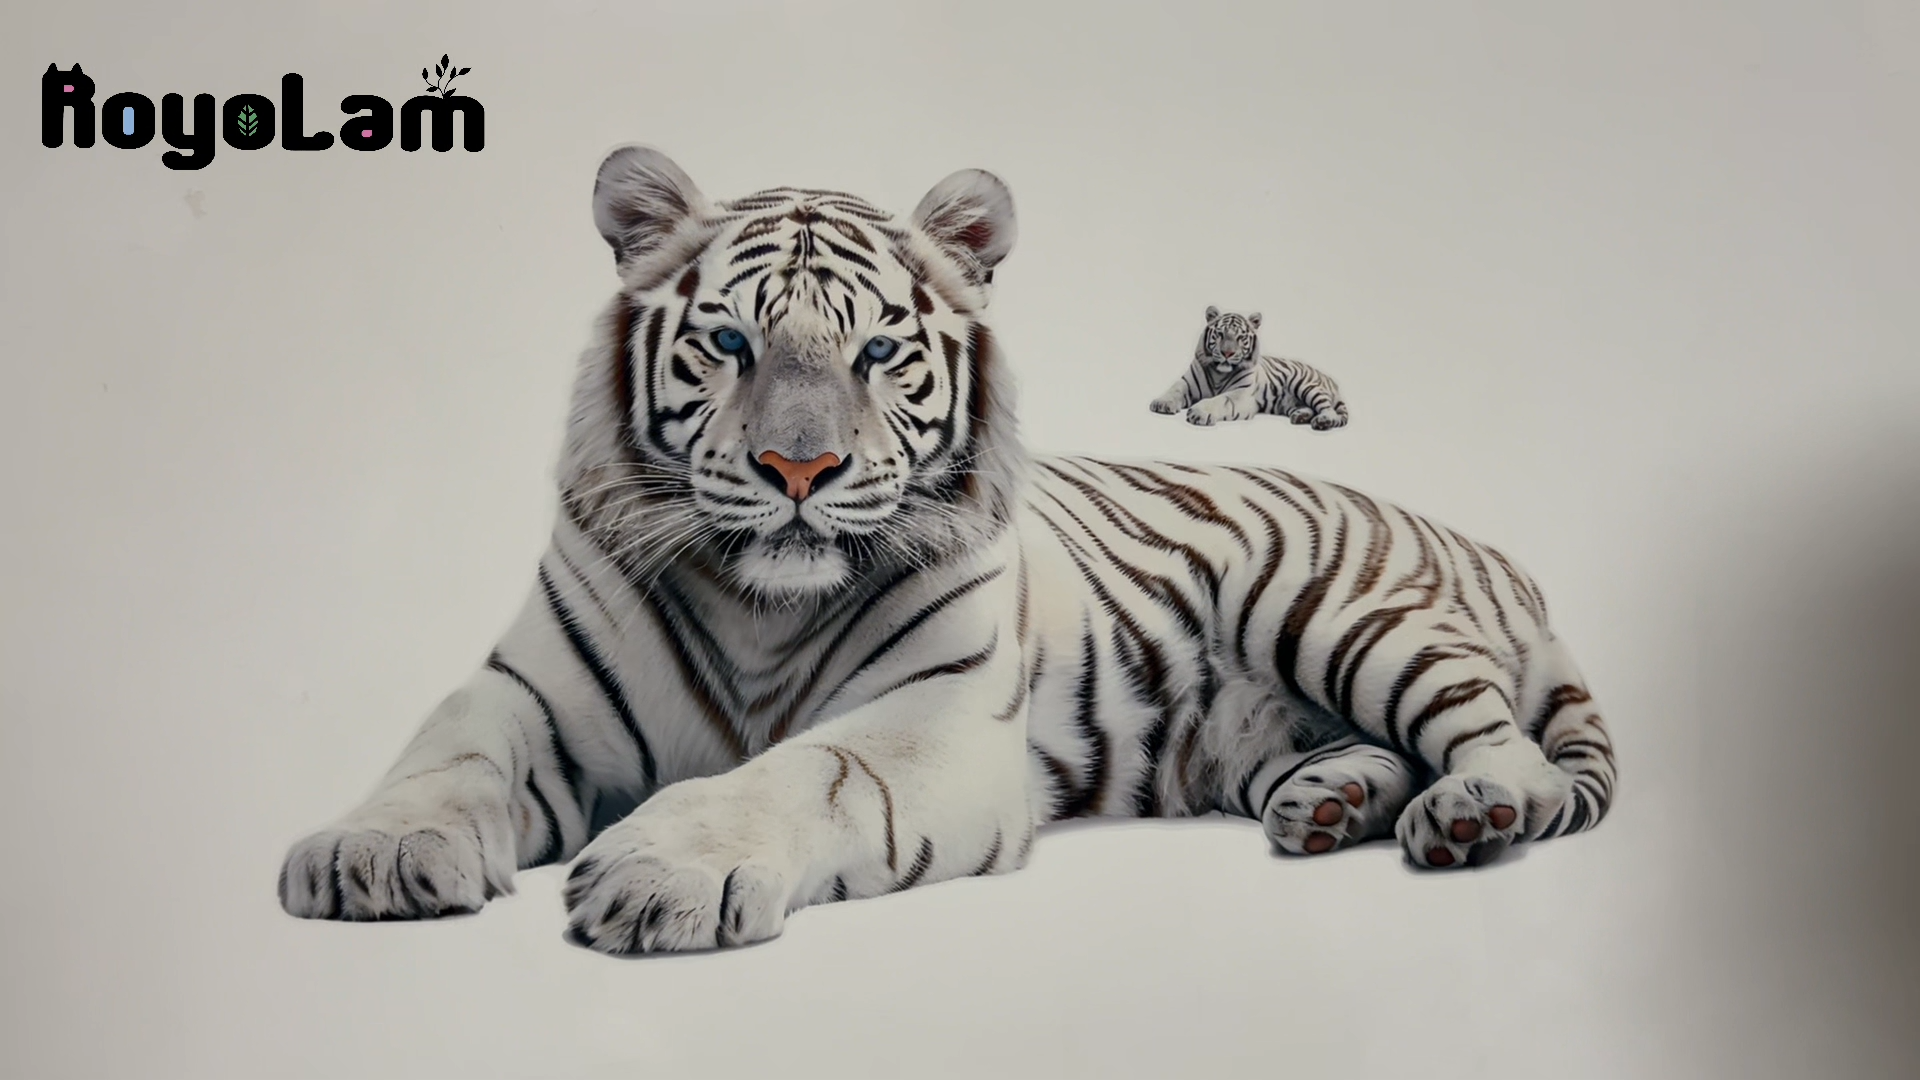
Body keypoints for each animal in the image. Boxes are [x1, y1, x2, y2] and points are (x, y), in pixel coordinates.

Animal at [1150, 306, 1351, 430]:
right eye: (1220, 334)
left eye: (1240, 338)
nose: (1227, 353)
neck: (1219, 374)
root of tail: (1331, 380)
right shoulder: (1187, 382)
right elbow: (1174, 389)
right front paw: (1162, 403)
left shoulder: (1240, 394)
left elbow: (1219, 400)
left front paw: (1199, 412)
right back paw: (1300, 416)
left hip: (1305, 385)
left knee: (1328, 409)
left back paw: (1324, 421)